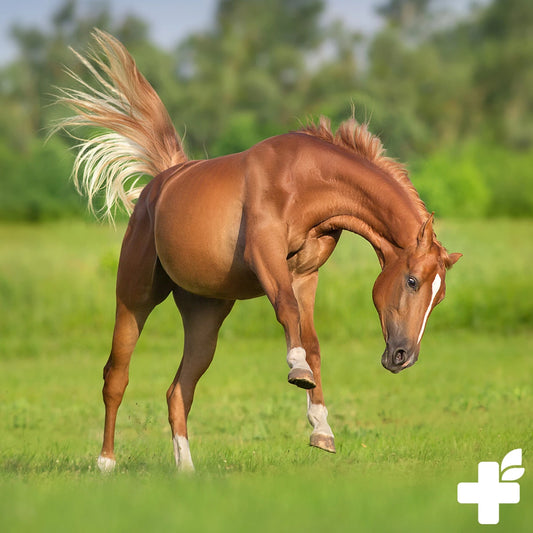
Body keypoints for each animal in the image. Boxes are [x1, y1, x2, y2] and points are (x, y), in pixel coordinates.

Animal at [56, 30, 460, 470]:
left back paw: (186, 469)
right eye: (411, 281)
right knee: (116, 376)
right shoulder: (265, 256)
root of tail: (161, 182)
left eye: (439, 298)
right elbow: (287, 312)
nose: (404, 356)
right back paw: (106, 463)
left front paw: (322, 428)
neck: (304, 180)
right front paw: (297, 370)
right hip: (134, 298)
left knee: (179, 390)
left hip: (204, 316)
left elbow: (312, 341)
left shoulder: (305, 274)